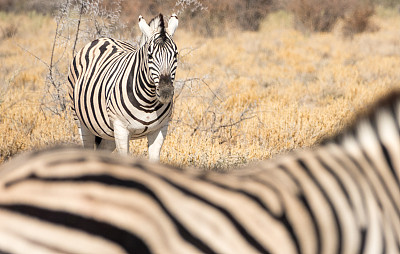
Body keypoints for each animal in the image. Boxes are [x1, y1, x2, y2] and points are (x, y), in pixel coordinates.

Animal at [68, 13, 179, 161]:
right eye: (150, 56)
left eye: (175, 55)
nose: (166, 91)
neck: (149, 101)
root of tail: (104, 38)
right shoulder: (121, 129)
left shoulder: (160, 129)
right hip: (82, 122)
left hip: (108, 132)